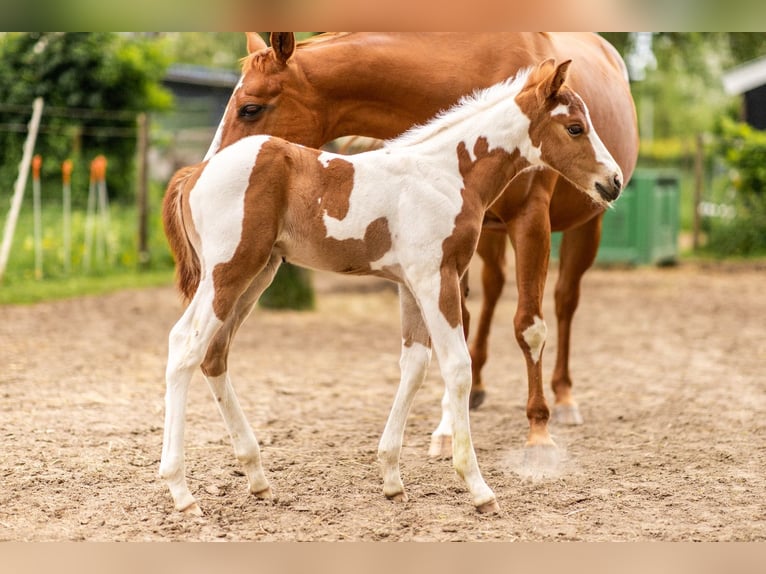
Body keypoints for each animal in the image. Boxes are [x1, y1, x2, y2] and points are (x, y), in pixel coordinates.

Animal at [159, 59, 623, 515]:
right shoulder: (435, 277)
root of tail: (196, 171)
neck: (447, 173)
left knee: (214, 354)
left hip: (257, 274)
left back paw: (257, 478)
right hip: (228, 272)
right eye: (575, 128)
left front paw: (392, 479)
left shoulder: (410, 284)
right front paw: (478, 487)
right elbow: (458, 367)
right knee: (184, 346)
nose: (614, 181)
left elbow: (414, 367)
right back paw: (181, 491)